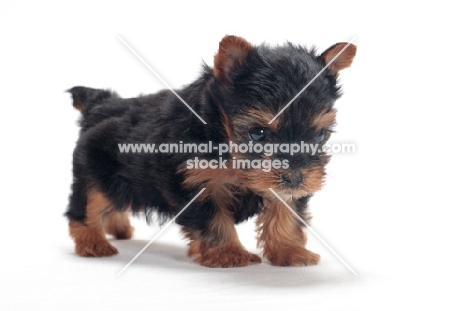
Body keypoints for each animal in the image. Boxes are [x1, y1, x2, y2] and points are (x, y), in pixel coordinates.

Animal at [66, 34, 356, 268]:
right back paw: (92, 242)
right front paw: (228, 254)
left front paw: (290, 251)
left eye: (319, 135)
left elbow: (286, 213)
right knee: (87, 205)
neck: (223, 142)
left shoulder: (287, 187)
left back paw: (119, 228)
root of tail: (100, 104)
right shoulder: (194, 181)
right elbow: (213, 220)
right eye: (258, 133)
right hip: (94, 170)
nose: (294, 178)